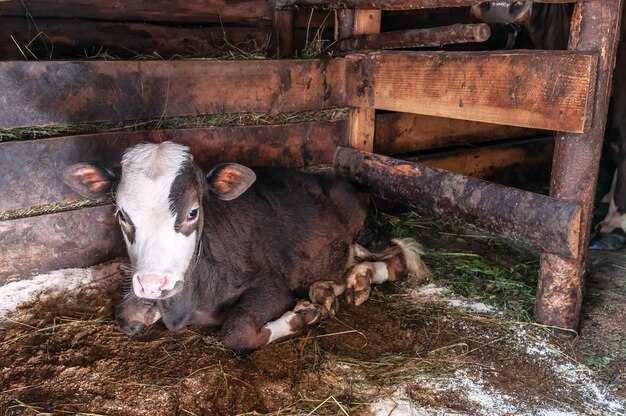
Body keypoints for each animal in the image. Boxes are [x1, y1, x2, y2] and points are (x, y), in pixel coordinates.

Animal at [62, 142, 428, 352]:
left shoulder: (273, 286)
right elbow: (125, 316)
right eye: (122, 214)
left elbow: (237, 332)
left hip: (365, 231)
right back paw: (332, 288)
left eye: (193, 212)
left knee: (397, 258)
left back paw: (358, 280)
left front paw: (300, 317)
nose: (153, 284)